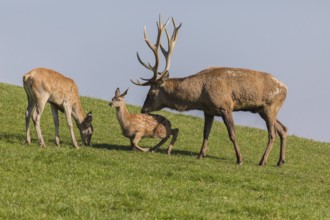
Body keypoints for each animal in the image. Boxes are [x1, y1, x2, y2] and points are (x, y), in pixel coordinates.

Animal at [131, 15, 288, 166]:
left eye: (151, 93)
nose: (143, 110)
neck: (199, 96)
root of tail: (286, 89)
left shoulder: (225, 106)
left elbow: (232, 134)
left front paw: (240, 159)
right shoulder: (208, 111)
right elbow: (206, 133)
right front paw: (201, 155)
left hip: (270, 107)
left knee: (272, 133)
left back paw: (263, 161)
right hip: (262, 110)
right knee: (283, 129)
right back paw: (280, 161)